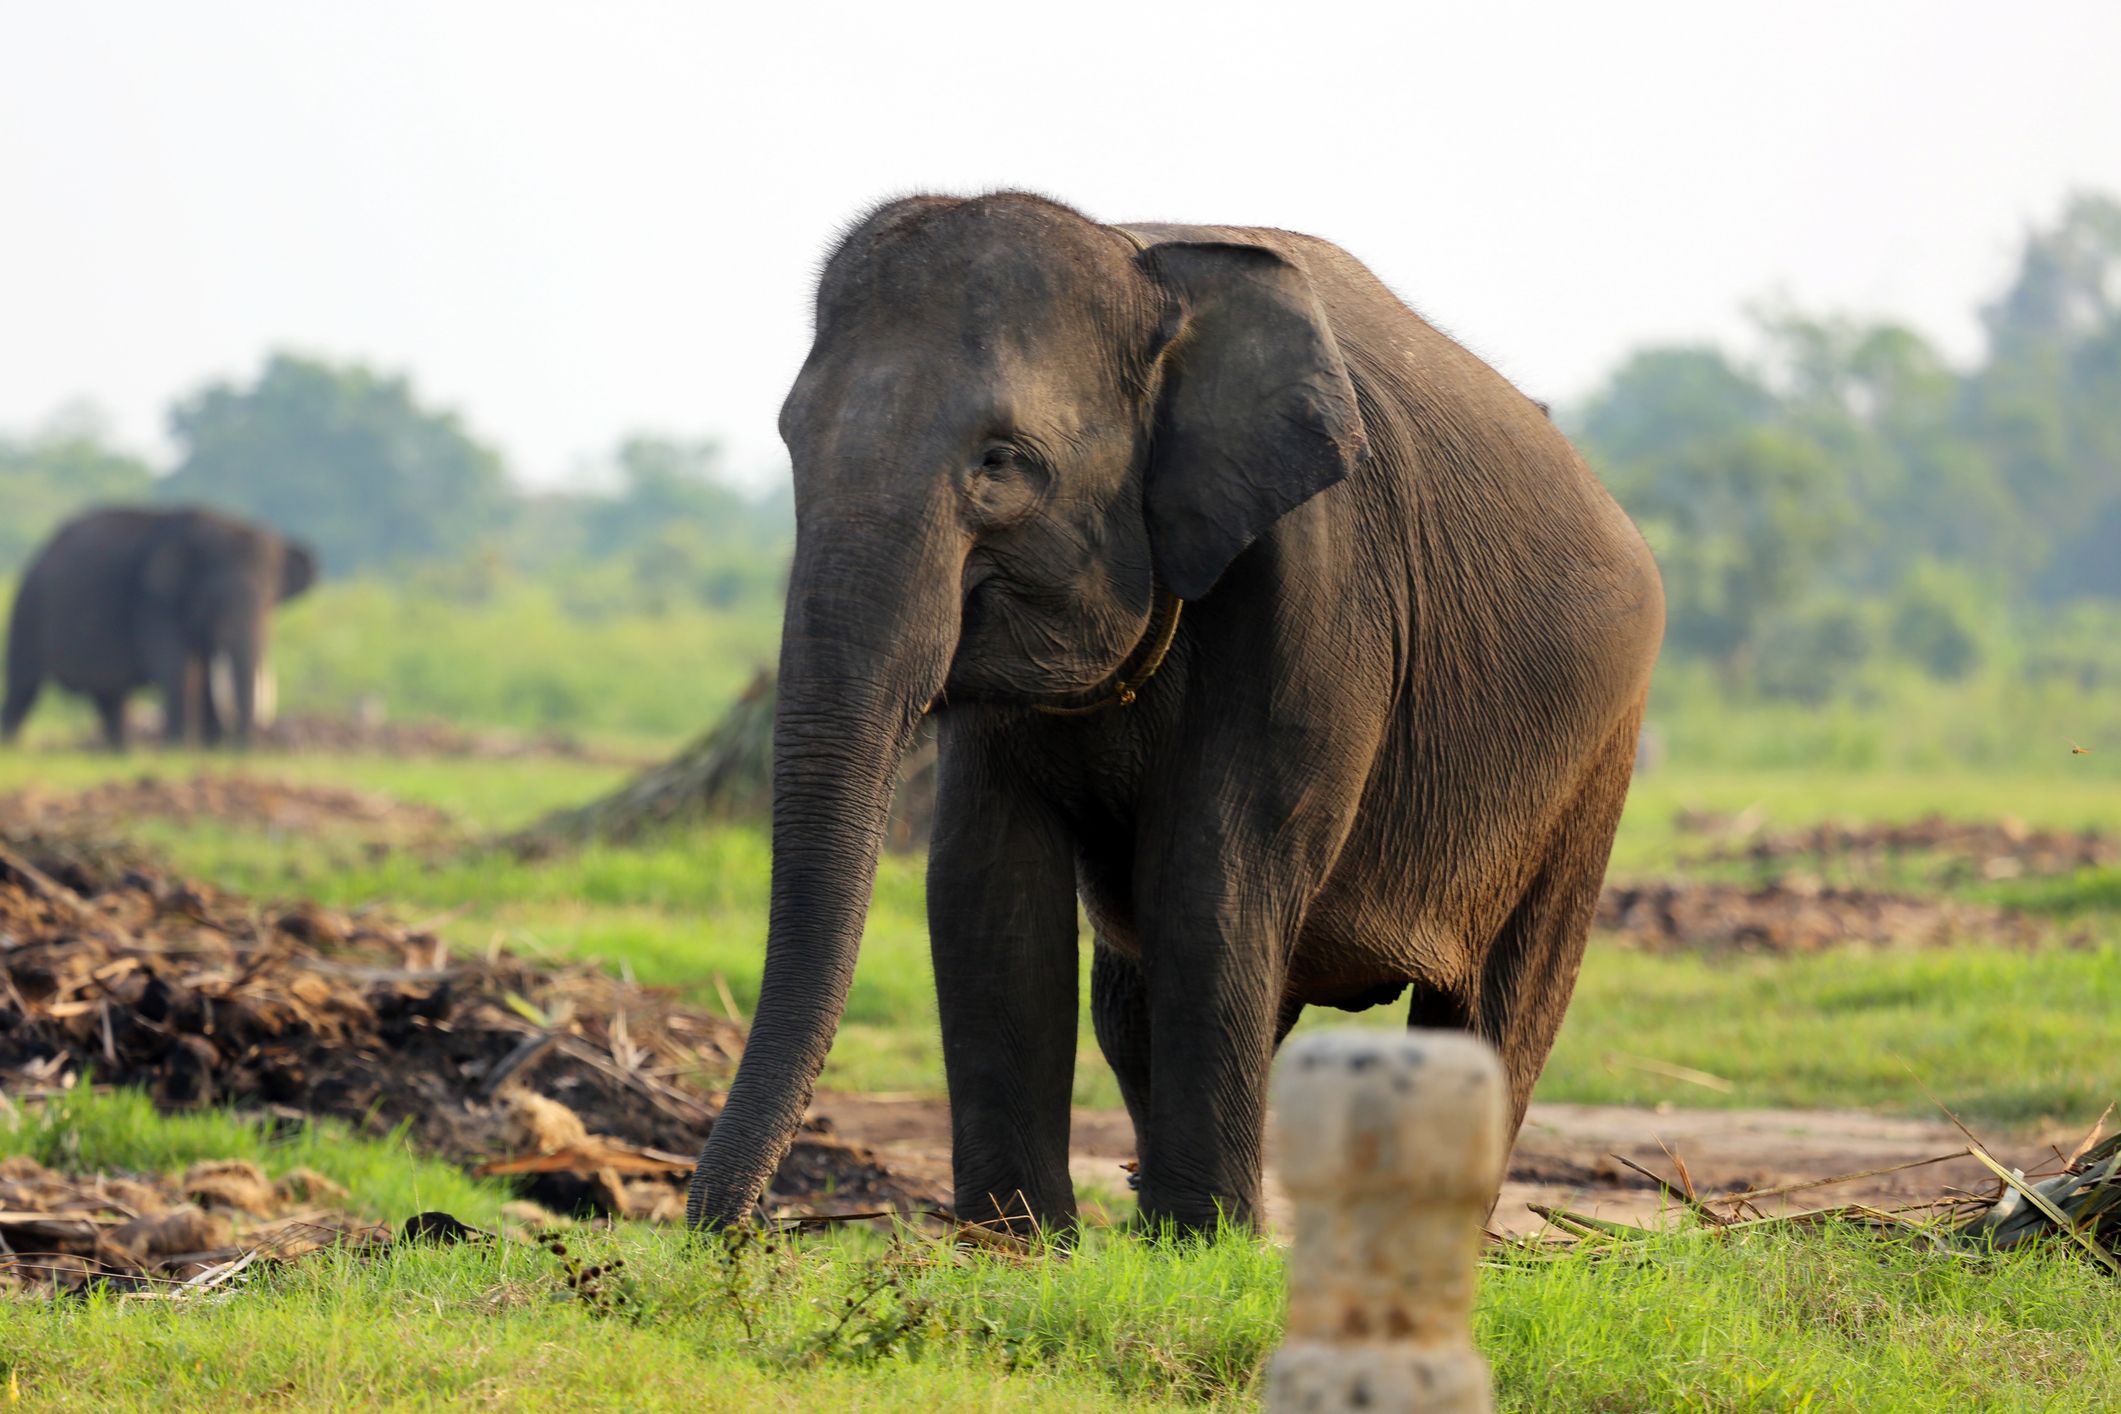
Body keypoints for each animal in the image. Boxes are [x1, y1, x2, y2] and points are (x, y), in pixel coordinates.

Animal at [3, 506, 316, 750]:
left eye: (271, 601)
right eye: (210, 599)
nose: (243, 750)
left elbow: (201, 669)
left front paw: (209, 749)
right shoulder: (153, 603)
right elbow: (180, 667)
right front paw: (179, 750)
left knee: (110, 696)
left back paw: (121, 753)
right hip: (26, 609)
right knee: (23, 687)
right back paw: (12, 748)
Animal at [686, 193, 1664, 1237]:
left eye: (1001, 460)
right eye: (791, 437)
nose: (733, 1236)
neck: (1144, 269)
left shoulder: (1322, 578)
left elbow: (1214, 867)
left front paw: (1202, 1240)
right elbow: (988, 882)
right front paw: (1019, 1243)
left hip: (1595, 757)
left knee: (1497, 1008)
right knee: (1133, 999)